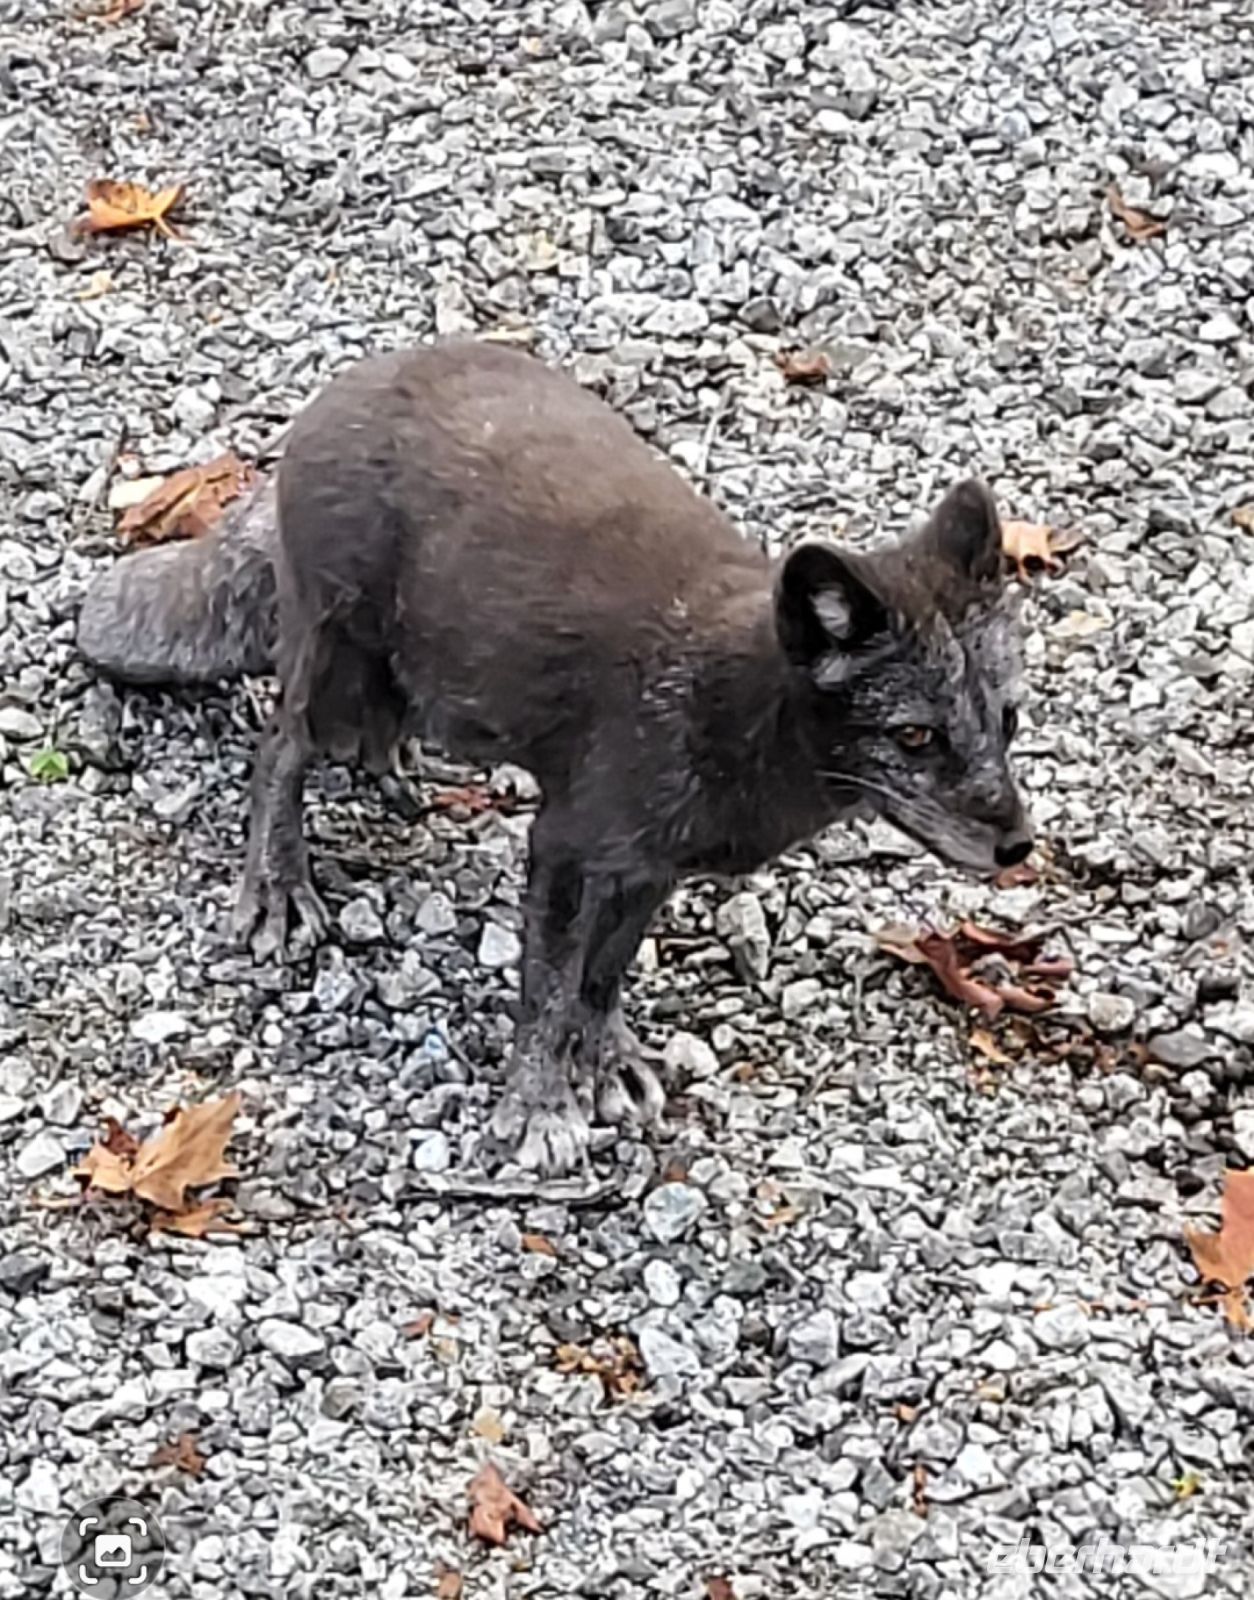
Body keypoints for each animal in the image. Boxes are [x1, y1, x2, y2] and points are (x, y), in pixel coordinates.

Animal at [77, 338, 1032, 1175]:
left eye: (1010, 720)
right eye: (916, 736)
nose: (1018, 846)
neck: (729, 706)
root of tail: (351, 386)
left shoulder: (648, 867)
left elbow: (601, 978)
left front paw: (605, 1061)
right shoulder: (567, 847)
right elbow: (545, 993)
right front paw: (537, 1112)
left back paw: (392, 761)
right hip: (333, 655)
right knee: (279, 749)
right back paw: (280, 882)